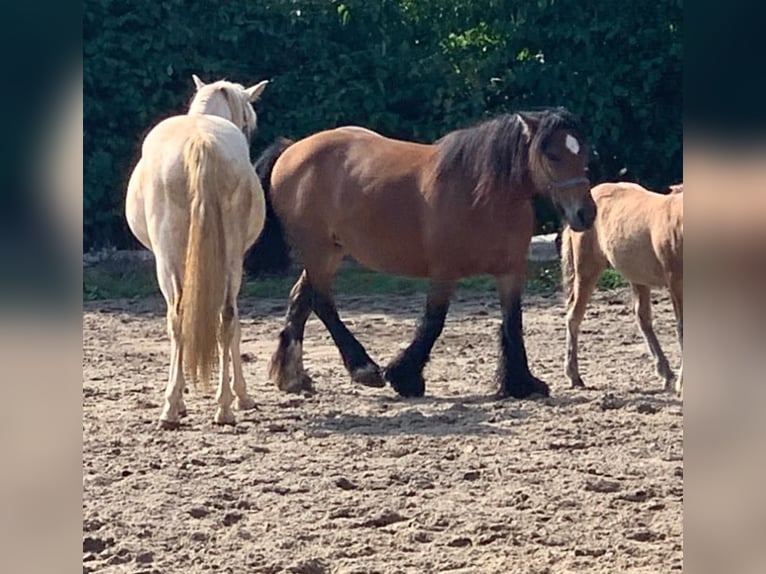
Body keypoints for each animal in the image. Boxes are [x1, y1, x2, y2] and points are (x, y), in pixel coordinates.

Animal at [124, 74, 268, 430]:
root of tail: (201, 141)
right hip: (230, 259)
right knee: (226, 317)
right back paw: (223, 409)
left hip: (168, 261)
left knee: (179, 318)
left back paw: (173, 409)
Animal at [258, 110, 600, 402]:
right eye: (551, 154)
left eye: (583, 153)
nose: (586, 214)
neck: (482, 194)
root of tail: (292, 149)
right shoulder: (444, 272)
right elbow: (434, 321)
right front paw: (405, 377)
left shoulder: (511, 271)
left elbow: (513, 322)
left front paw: (521, 383)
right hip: (319, 249)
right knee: (321, 301)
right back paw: (363, 368)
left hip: (329, 250)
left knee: (301, 297)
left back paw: (292, 376)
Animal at [560, 182, 688, 398]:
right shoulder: (676, 283)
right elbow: (682, 330)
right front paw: (683, 385)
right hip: (587, 269)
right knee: (574, 316)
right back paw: (574, 376)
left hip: (637, 276)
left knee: (642, 317)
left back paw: (666, 373)